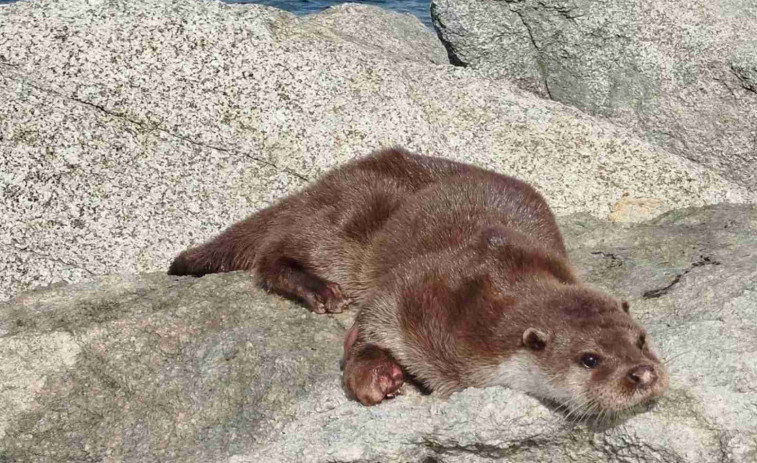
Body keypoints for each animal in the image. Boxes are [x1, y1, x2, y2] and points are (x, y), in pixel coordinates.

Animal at [168, 149, 664, 416]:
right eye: (589, 358)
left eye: (641, 339)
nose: (643, 373)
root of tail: (330, 181)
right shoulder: (419, 291)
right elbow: (370, 322)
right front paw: (375, 376)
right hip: (348, 227)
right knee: (273, 252)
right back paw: (319, 291)